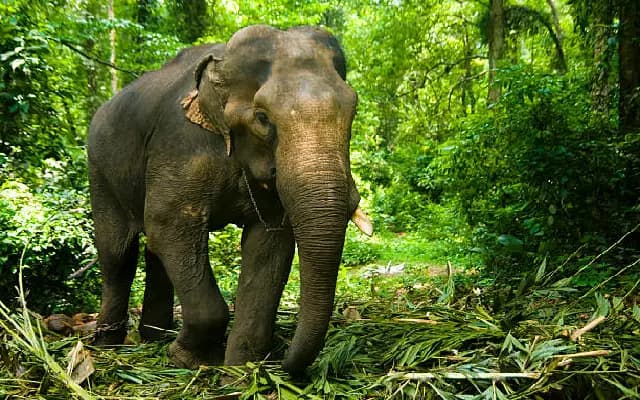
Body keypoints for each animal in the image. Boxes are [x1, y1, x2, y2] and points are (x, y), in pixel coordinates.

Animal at [88, 24, 373, 375]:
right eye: (263, 118)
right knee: (118, 254)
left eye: (353, 110)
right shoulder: (182, 144)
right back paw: (107, 346)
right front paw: (186, 359)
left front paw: (239, 374)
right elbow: (168, 225)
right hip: (99, 170)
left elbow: (268, 244)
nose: (282, 363)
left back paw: (154, 337)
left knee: (152, 252)